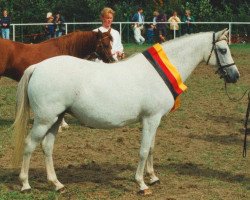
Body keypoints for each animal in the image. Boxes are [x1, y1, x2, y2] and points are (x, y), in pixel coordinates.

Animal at [12, 28, 239, 195]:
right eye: (223, 50)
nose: (235, 76)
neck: (158, 72)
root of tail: (38, 67)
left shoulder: (155, 120)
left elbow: (151, 148)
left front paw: (153, 177)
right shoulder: (150, 119)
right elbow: (143, 150)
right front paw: (142, 184)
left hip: (56, 119)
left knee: (47, 147)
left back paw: (56, 184)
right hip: (44, 120)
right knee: (29, 144)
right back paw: (25, 184)